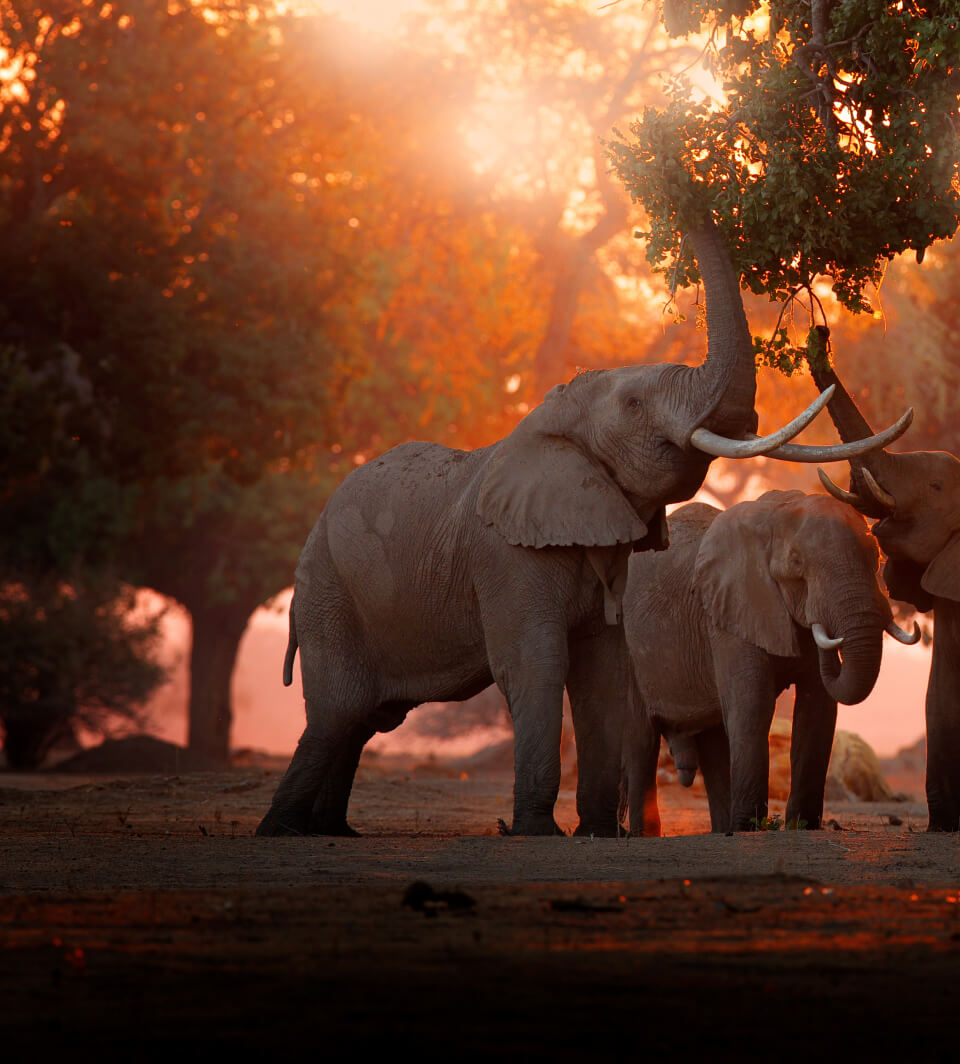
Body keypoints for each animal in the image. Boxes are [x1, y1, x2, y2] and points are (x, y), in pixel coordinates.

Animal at [620, 492, 918, 835]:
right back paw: (651, 834)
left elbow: (817, 710)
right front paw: (751, 828)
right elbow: (754, 705)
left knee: (713, 740)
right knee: (642, 740)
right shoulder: (730, 613)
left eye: (876, 557)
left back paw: (724, 829)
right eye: (797, 563)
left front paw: (803, 827)